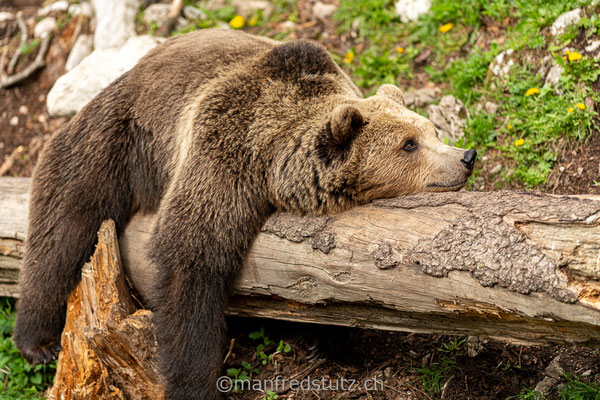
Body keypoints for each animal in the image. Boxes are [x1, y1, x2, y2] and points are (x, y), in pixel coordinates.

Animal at [11, 28, 476, 400]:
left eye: (430, 129)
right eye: (409, 144)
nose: (466, 156)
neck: (273, 163)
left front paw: (331, 340)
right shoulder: (222, 151)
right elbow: (191, 259)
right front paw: (194, 383)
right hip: (117, 137)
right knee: (66, 223)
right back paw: (38, 340)